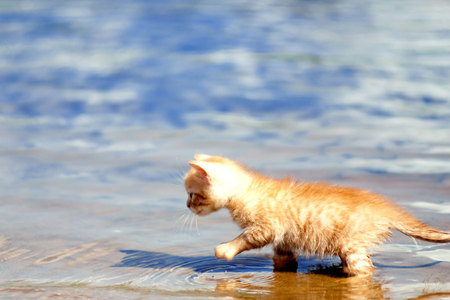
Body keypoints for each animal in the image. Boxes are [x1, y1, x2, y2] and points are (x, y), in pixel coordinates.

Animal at [184, 155, 450, 276]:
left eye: (192, 194)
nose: (187, 205)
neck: (246, 191)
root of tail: (386, 208)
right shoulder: (284, 240)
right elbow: (284, 259)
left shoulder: (266, 227)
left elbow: (246, 239)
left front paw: (225, 250)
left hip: (351, 244)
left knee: (364, 270)